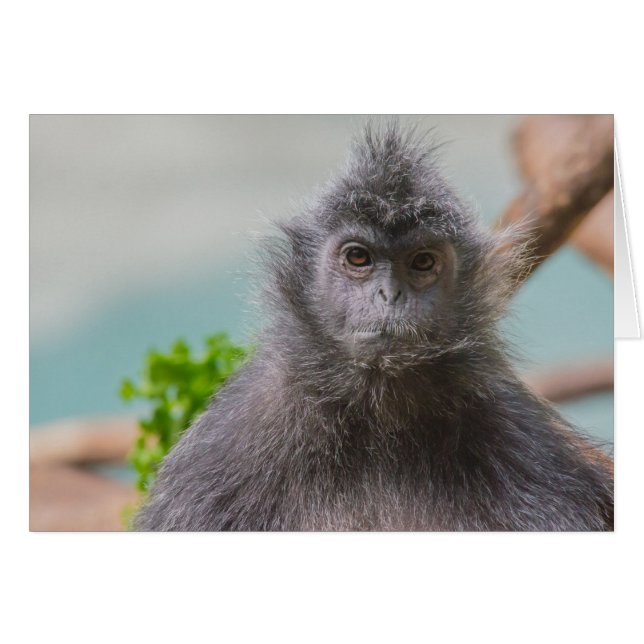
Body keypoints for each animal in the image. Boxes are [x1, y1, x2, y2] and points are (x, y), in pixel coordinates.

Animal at [134, 122, 614, 531]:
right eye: (358, 257)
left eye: (422, 262)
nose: (390, 295)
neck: (377, 417)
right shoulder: (223, 448)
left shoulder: (528, 445)